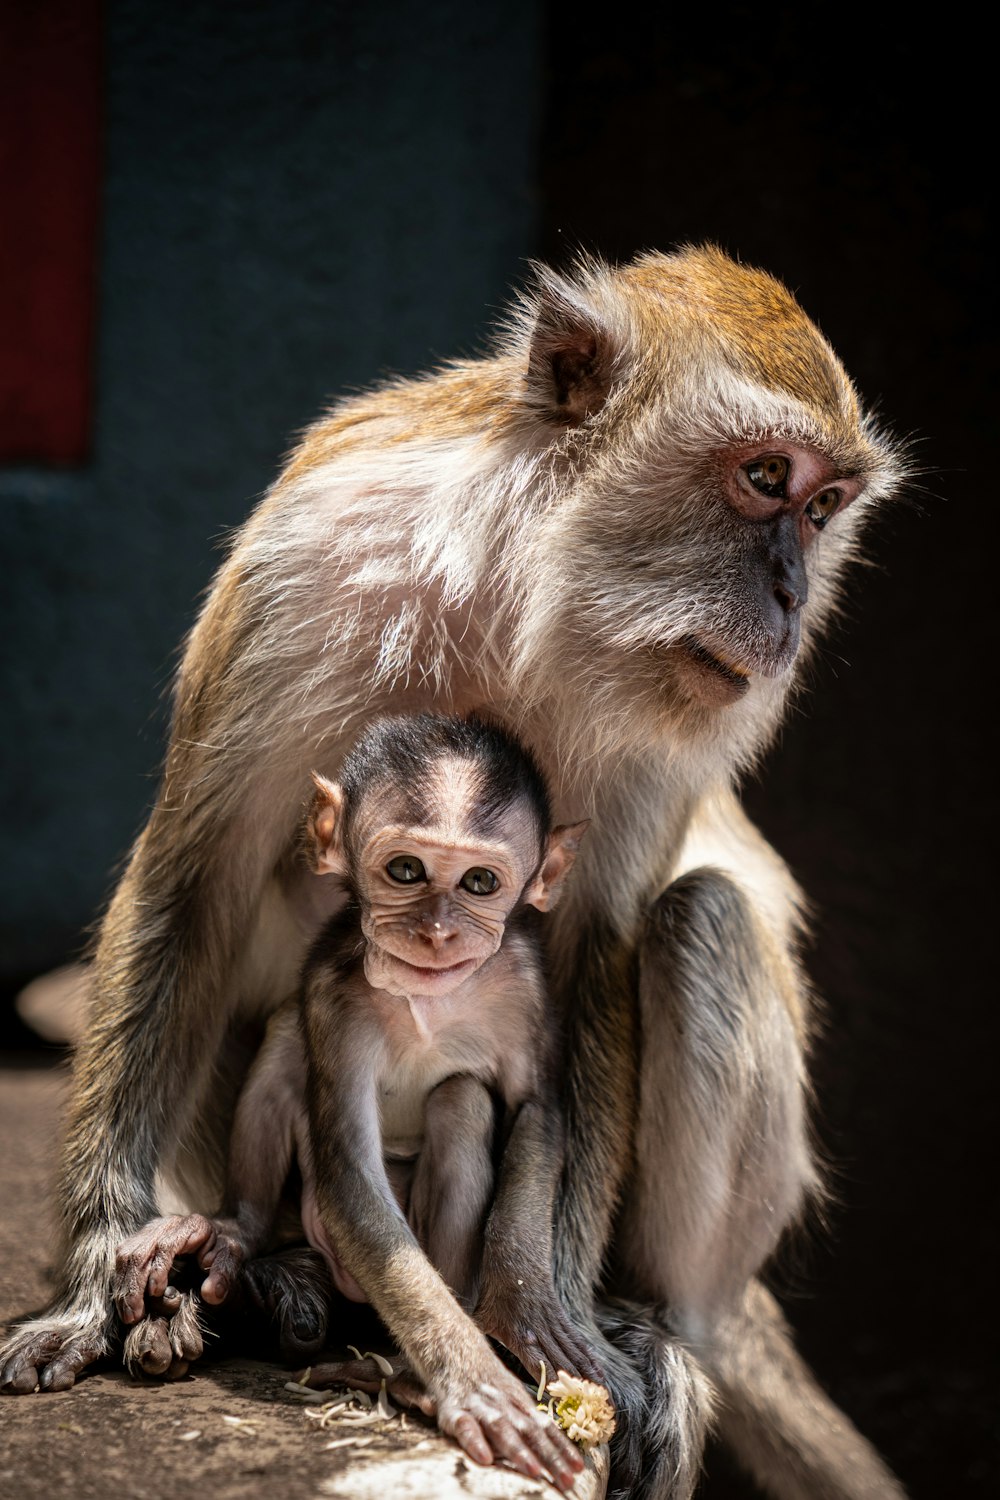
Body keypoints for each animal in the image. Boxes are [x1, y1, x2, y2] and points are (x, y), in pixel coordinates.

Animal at [122, 714, 599, 1488]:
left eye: (480, 882)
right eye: (405, 871)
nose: (437, 931)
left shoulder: (528, 981)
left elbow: (535, 1108)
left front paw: (522, 1303)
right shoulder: (334, 993)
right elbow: (349, 1169)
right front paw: (476, 1384)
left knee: (462, 1101)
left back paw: (404, 1369)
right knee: (288, 1041)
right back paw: (240, 1230)